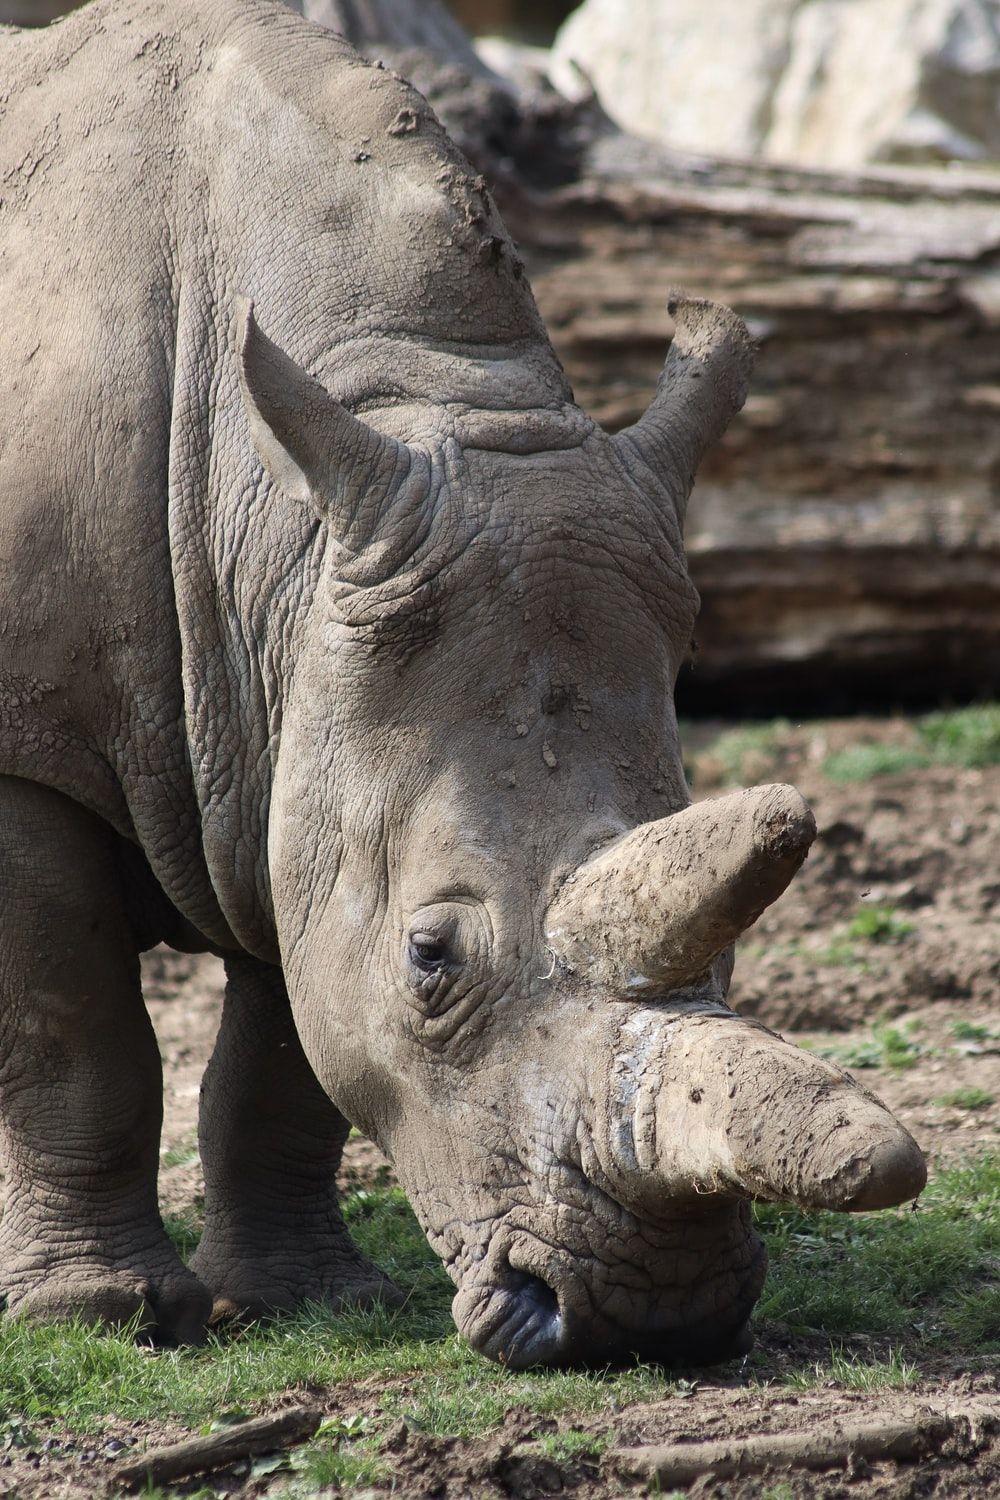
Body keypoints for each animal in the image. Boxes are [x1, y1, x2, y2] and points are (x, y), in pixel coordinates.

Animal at [0, 0, 925, 1365]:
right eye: (433, 956)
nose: (648, 1314)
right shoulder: (31, 743)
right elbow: (74, 1033)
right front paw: (106, 1318)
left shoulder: (300, 729)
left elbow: (289, 1052)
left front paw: (308, 1301)